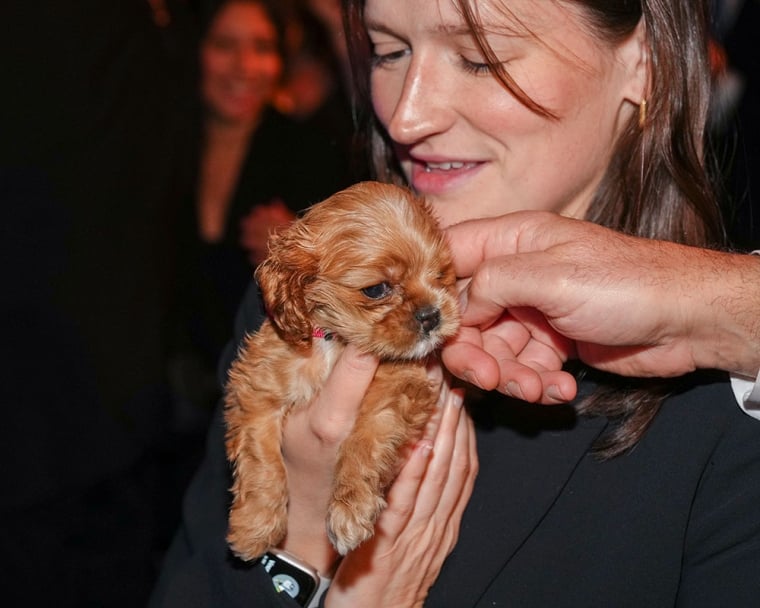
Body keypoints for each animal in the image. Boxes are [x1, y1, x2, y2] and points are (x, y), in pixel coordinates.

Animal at [223, 180, 460, 560]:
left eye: (439, 275)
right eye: (376, 289)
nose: (431, 315)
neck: (335, 344)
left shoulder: (398, 388)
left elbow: (363, 441)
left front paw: (349, 510)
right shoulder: (256, 391)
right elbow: (262, 459)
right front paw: (254, 526)